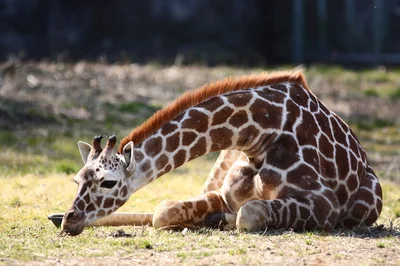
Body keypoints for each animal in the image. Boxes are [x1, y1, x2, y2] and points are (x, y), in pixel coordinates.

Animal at [61, 70, 382, 235]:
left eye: (108, 182)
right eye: (76, 180)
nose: (69, 221)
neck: (260, 135)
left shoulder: (324, 204)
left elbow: (248, 213)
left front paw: (217, 220)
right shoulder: (224, 194)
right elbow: (164, 210)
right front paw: (204, 219)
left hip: (368, 203)